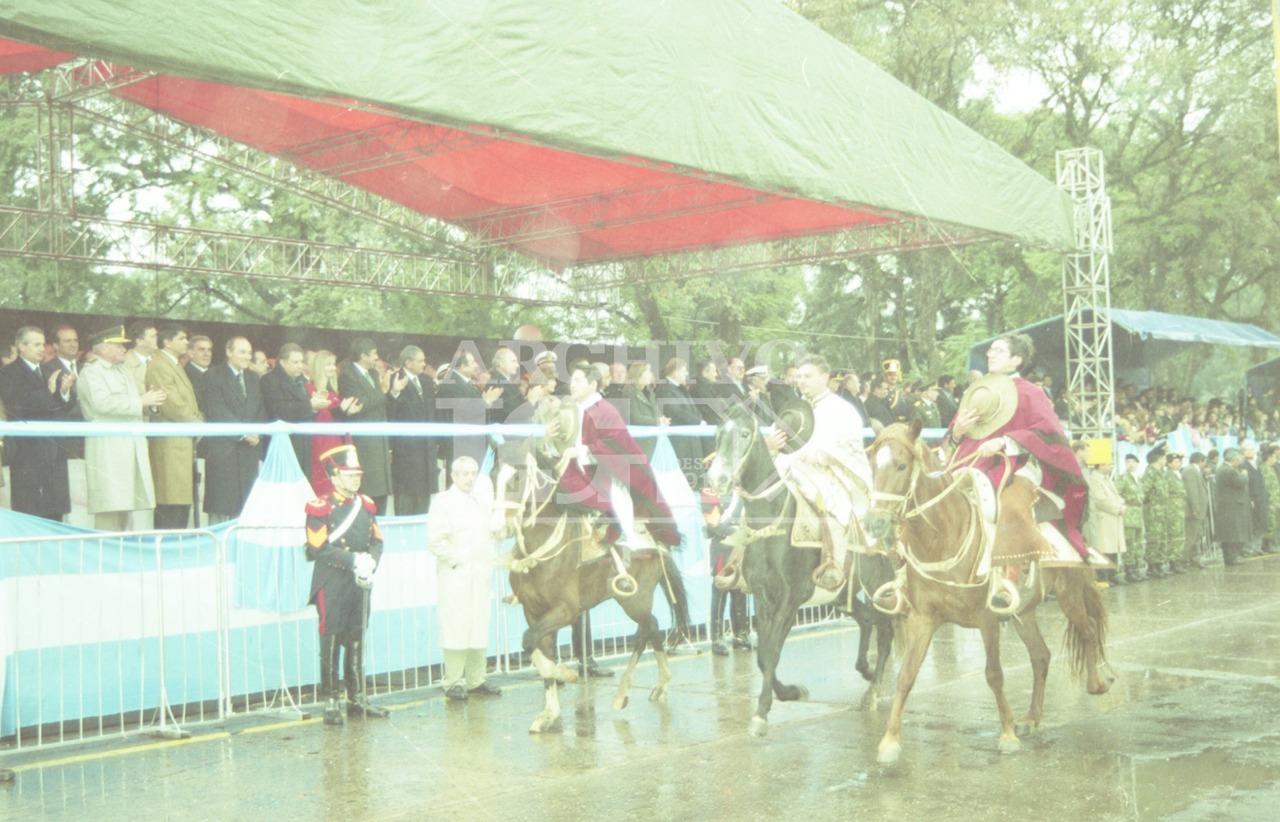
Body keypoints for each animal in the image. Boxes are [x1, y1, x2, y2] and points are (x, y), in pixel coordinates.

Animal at [488, 445, 691, 732]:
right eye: (492, 476)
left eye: (517, 477)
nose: (497, 527)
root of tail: (656, 539)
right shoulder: (534, 611)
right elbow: (539, 646)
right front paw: (550, 712)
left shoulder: (566, 610)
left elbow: (529, 641)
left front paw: (565, 673)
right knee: (650, 630)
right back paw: (652, 687)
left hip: (635, 599)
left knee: (648, 627)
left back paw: (631, 691)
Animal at [706, 404, 896, 737]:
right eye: (718, 434)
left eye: (744, 434)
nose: (718, 478)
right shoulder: (762, 598)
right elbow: (762, 656)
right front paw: (789, 692)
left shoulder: (789, 600)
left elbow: (771, 653)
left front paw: (762, 712)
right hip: (840, 594)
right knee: (867, 619)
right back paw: (866, 671)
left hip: (878, 585)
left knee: (885, 631)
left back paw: (873, 692)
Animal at [865, 422, 1116, 763]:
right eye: (872, 465)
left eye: (902, 465)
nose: (874, 523)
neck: (944, 538)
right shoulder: (922, 618)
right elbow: (906, 675)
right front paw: (889, 741)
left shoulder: (986, 619)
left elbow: (994, 674)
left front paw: (1007, 734)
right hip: (1023, 612)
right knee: (1041, 655)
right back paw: (1032, 717)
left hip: (1069, 593)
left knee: (1088, 629)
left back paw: (1097, 683)